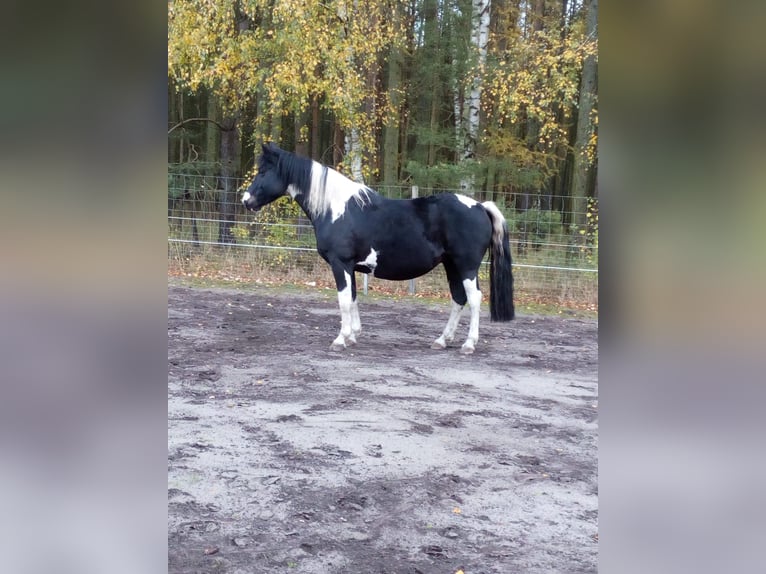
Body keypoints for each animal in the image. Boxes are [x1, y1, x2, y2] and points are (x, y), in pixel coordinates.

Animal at [242, 143, 515, 354]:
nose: (246, 200)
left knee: (474, 298)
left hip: (466, 266)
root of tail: (480, 206)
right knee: (458, 298)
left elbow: (343, 300)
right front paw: (353, 335)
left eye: (263, 171)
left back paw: (469, 344)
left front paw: (340, 339)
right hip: (451, 266)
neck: (336, 209)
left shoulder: (340, 263)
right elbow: (352, 298)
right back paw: (442, 340)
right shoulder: (350, 266)